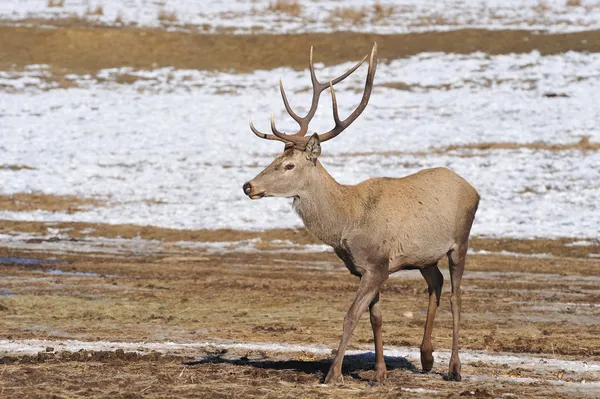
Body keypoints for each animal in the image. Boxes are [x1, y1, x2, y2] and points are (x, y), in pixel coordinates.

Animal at [241, 43, 480, 384]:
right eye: (273, 159)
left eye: (288, 165)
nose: (248, 186)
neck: (347, 224)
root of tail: (472, 188)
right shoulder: (364, 267)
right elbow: (375, 317)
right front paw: (379, 373)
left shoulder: (378, 264)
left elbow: (351, 315)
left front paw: (333, 374)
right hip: (424, 256)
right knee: (436, 283)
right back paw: (426, 357)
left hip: (461, 239)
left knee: (456, 296)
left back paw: (454, 368)